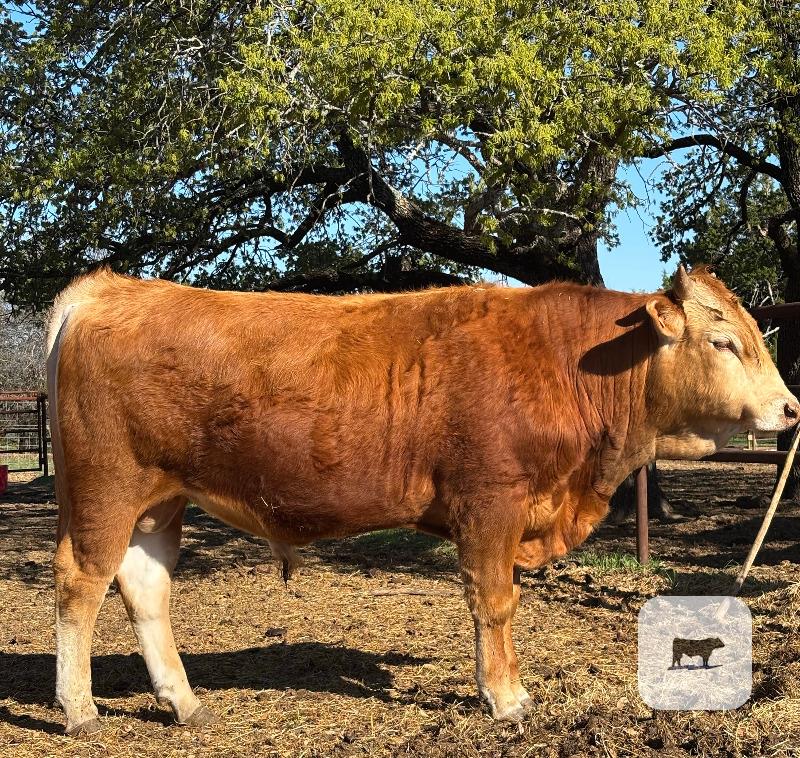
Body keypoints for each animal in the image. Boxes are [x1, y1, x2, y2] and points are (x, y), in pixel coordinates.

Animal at [46, 265, 798, 735]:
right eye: (723, 341)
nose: (791, 408)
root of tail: (106, 289)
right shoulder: (491, 505)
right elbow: (495, 603)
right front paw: (506, 697)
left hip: (158, 503)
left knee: (144, 588)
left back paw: (184, 702)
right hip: (106, 491)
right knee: (80, 584)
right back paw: (80, 709)